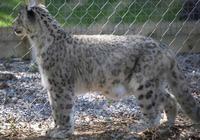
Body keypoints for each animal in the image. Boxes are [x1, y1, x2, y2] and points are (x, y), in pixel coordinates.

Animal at [13, 3, 199, 138]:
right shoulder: (52, 88)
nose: (13, 25)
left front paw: (61, 131)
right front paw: (56, 129)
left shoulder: (60, 86)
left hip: (142, 83)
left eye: (18, 17)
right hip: (153, 83)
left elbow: (63, 109)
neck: (38, 44)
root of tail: (164, 47)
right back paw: (168, 125)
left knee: (153, 112)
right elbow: (55, 109)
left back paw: (135, 128)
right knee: (171, 98)